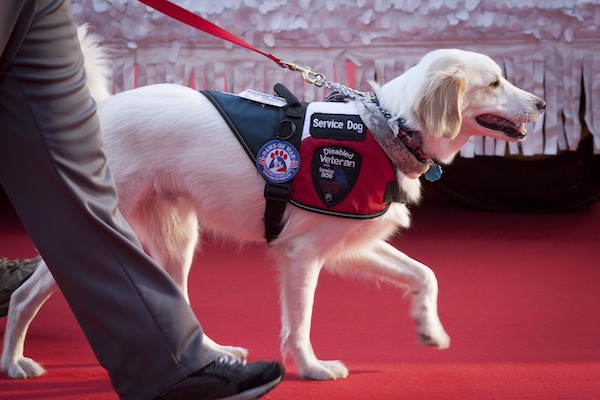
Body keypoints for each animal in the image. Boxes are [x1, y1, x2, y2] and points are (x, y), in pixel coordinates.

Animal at [1, 28, 544, 382]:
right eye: (494, 83)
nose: (540, 105)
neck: (386, 127)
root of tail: (102, 110)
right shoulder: (302, 255)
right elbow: (299, 322)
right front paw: (311, 368)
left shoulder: (346, 243)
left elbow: (425, 274)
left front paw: (429, 328)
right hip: (101, 226)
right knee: (25, 296)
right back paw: (13, 364)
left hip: (175, 239)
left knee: (176, 301)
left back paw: (215, 355)